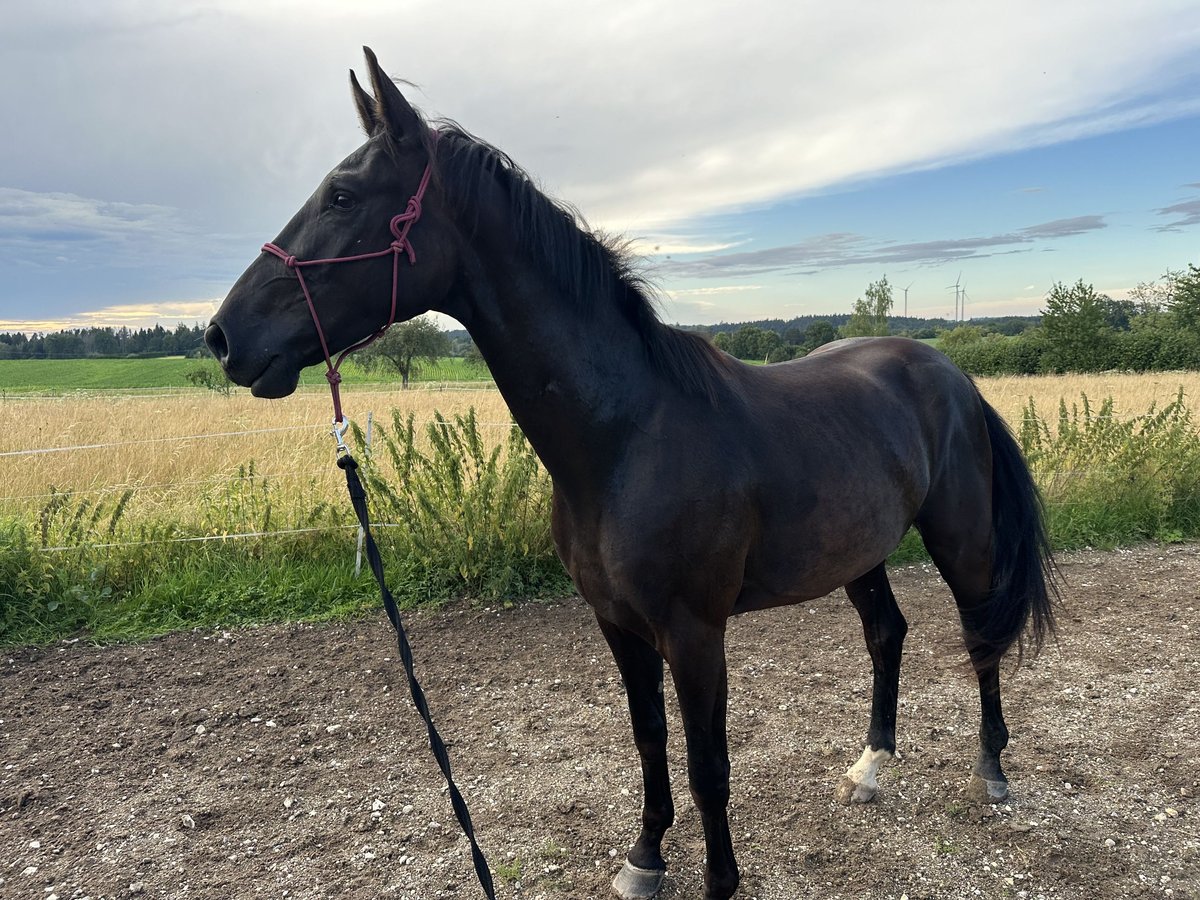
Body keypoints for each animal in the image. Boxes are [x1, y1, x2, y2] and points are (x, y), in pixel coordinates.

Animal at [208, 49, 1060, 900]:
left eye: (343, 196)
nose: (222, 336)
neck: (625, 436)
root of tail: (951, 374)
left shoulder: (694, 632)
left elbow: (708, 766)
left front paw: (719, 881)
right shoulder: (617, 623)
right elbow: (649, 740)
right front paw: (646, 856)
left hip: (962, 541)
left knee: (980, 634)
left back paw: (991, 770)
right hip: (859, 552)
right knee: (887, 635)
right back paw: (870, 770)